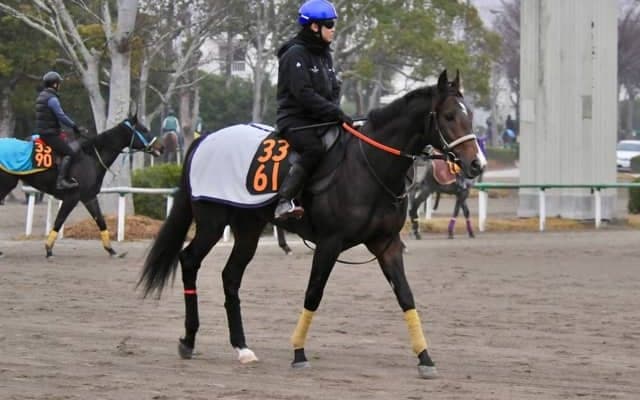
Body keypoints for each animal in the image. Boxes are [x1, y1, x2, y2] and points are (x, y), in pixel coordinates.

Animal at [0, 114, 163, 257]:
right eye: (144, 130)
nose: (161, 147)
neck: (91, 157)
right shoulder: (72, 197)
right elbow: (59, 221)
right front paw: (48, 249)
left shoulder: (89, 197)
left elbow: (101, 221)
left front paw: (112, 250)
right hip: (6, 185)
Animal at [138, 70, 485, 379]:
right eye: (449, 116)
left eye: (469, 115)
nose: (476, 164)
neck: (367, 165)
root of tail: (205, 139)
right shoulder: (330, 243)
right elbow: (313, 294)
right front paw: (298, 353)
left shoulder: (385, 244)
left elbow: (405, 296)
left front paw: (425, 358)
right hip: (212, 222)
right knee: (189, 260)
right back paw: (189, 339)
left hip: (248, 229)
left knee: (230, 276)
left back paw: (242, 347)